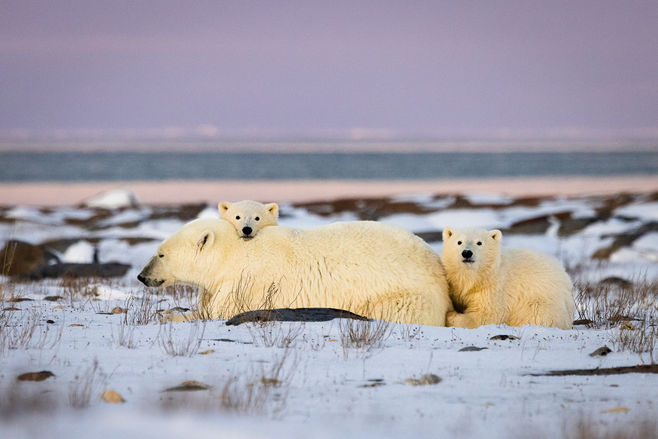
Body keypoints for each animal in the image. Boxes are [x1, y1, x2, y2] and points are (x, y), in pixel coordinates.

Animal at [138, 218, 452, 326]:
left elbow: (221, 311)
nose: (142, 276)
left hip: (404, 295)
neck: (233, 254)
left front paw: (170, 316)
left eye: (160, 253)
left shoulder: (248, 282)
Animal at [441, 227, 575, 329]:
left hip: (542, 301)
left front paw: (450, 315)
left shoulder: (495, 288)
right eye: (459, 242)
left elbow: (484, 315)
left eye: (479, 242)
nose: (467, 253)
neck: (478, 277)